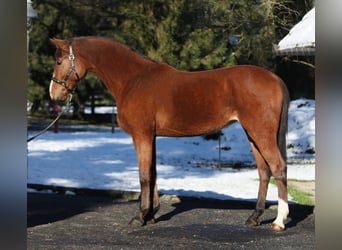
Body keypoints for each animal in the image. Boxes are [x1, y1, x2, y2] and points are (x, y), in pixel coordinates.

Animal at [48, 36, 288, 230]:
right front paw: (151, 215)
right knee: (264, 172)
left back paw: (279, 221)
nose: (54, 94)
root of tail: (276, 79)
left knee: (278, 168)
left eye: (59, 62)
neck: (133, 79)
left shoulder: (142, 135)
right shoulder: (151, 137)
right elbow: (153, 173)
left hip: (261, 133)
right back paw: (254, 217)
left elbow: (144, 176)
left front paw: (140, 217)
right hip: (253, 135)